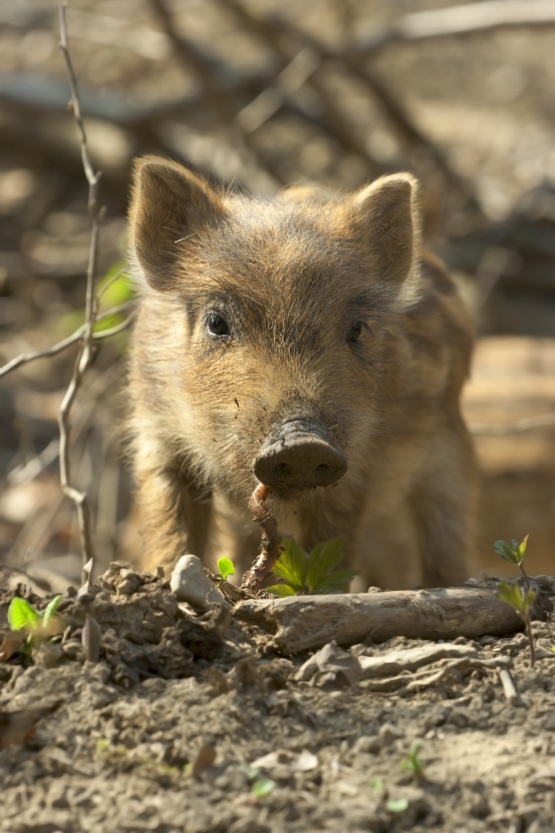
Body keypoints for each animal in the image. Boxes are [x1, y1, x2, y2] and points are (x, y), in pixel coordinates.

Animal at [127, 156, 477, 590]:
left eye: (357, 328)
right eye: (216, 322)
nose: (302, 442)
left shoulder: (361, 458)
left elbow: (330, 543)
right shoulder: (156, 434)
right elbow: (170, 523)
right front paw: (162, 577)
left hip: (449, 459)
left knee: (446, 544)